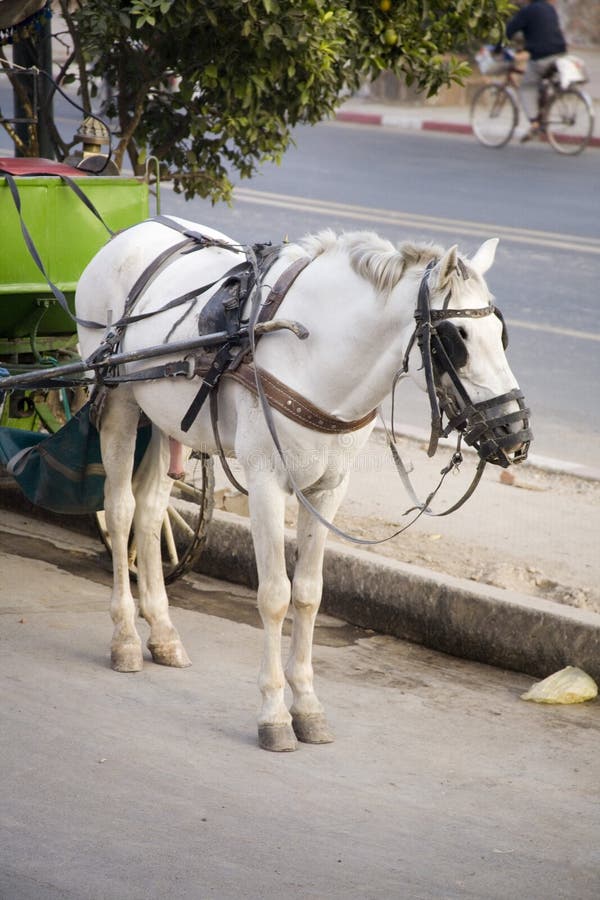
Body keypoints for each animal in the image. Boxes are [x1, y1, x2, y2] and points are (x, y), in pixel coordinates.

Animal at [75, 217, 531, 752]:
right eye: (456, 337)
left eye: (500, 333)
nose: (515, 434)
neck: (314, 353)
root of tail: (132, 230)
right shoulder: (266, 485)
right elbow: (275, 595)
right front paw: (274, 714)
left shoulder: (329, 491)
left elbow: (309, 594)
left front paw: (308, 707)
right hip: (119, 400)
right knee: (121, 509)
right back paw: (125, 637)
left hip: (168, 418)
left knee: (149, 513)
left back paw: (163, 633)